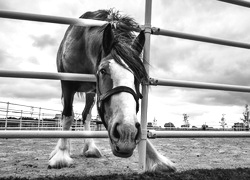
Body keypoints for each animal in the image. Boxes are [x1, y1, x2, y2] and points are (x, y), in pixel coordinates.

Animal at [47, 9, 175, 172]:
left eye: (139, 75)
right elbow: (68, 117)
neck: (82, 44)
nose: (126, 133)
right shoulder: (67, 83)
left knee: (86, 116)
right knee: (67, 113)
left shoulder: (96, 91)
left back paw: (90, 147)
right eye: (103, 70)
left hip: (91, 93)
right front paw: (61, 156)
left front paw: (157, 159)